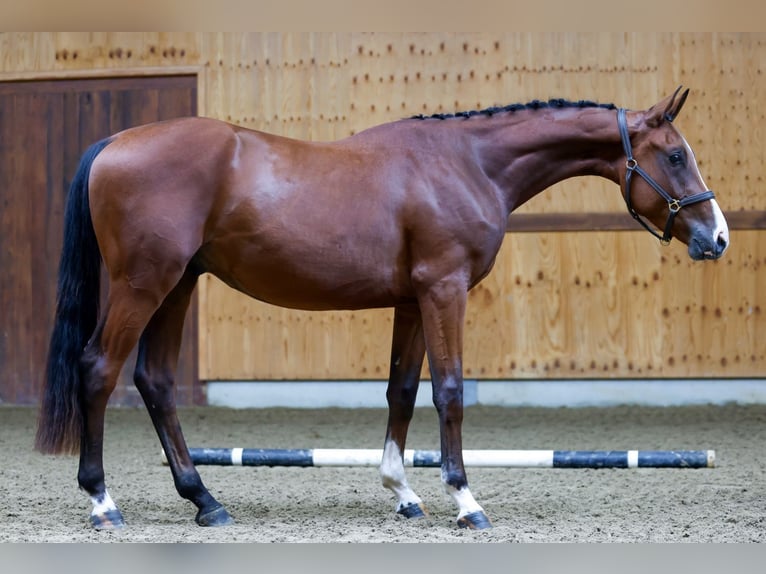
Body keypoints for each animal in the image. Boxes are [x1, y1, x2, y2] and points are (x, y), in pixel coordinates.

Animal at [36, 85, 732, 532]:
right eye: (676, 155)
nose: (717, 237)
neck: (467, 164)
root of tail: (116, 141)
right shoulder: (445, 289)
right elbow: (448, 391)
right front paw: (465, 501)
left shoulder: (412, 300)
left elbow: (402, 390)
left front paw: (403, 493)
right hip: (144, 286)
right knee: (98, 371)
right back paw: (103, 503)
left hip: (177, 286)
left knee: (154, 382)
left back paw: (205, 500)